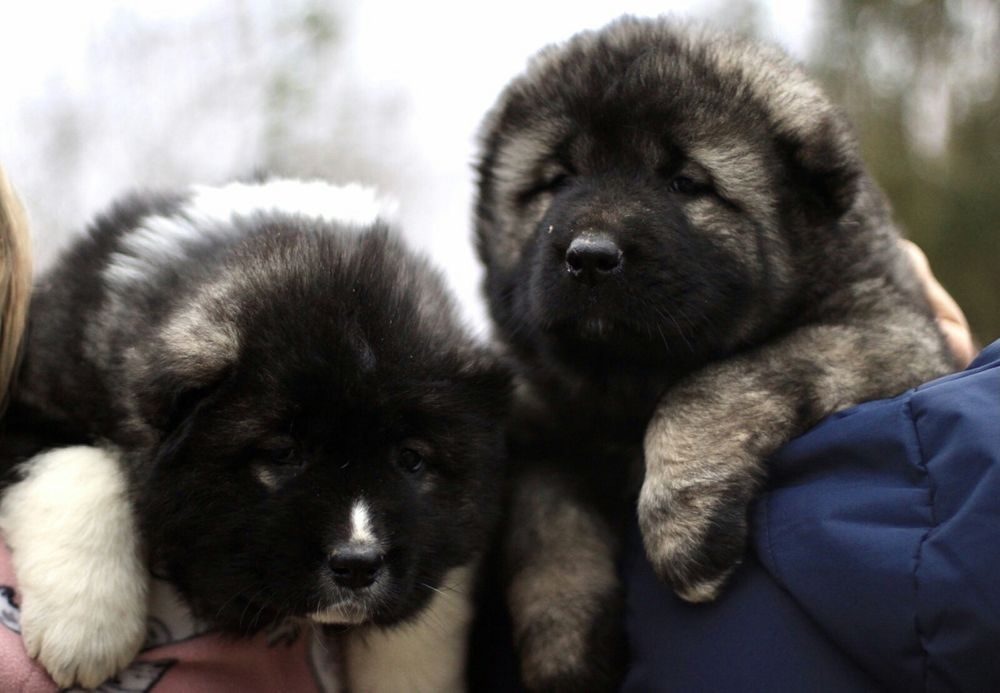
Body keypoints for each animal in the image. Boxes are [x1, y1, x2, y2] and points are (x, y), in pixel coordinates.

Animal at [472, 14, 956, 688]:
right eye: (559, 180)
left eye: (685, 183)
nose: (589, 256)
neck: (624, 383)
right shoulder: (536, 431)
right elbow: (547, 529)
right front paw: (567, 650)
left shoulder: (886, 331)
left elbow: (712, 384)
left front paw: (683, 523)